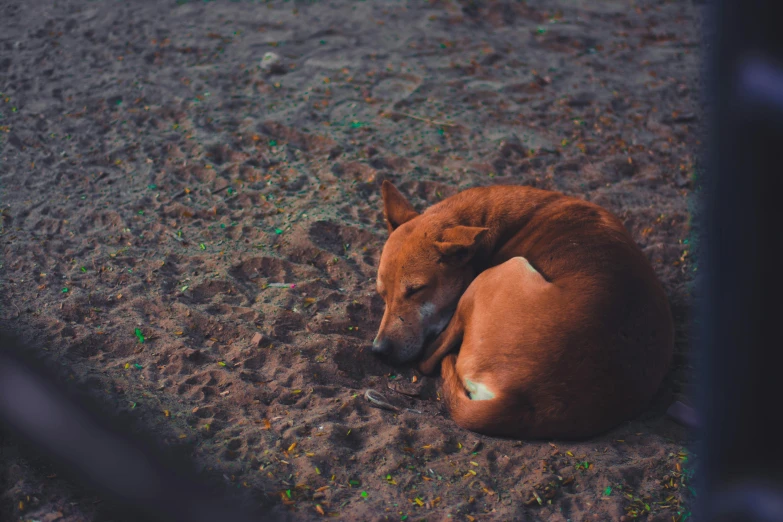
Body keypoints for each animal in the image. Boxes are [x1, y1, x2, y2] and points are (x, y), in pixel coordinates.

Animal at [374, 181, 672, 436]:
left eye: (416, 289)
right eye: (381, 294)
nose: (379, 351)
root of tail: (523, 400)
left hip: (499, 273)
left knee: (429, 359)